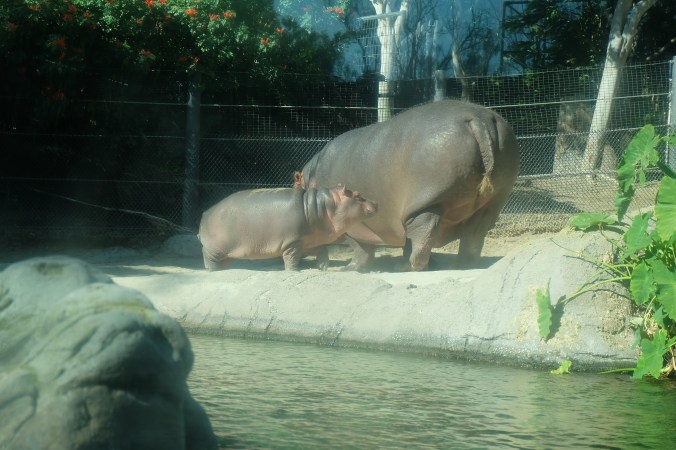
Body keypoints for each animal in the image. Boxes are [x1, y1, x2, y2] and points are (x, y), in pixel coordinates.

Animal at [198, 186, 378, 271]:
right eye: (357, 195)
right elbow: (292, 258)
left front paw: (323, 268)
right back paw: (214, 270)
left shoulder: (311, 241)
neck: (323, 207)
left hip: (226, 252)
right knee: (207, 256)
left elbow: (322, 251)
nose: (376, 203)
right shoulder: (293, 242)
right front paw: (294, 271)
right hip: (215, 248)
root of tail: (205, 213)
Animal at [294, 100, 520, 271]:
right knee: (474, 232)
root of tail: (477, 119)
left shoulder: (354, 224)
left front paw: (349, 268)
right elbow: (403, 244)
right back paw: (462, 265)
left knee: (424, 231)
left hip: (429, 201)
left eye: (294, 183)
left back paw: (407, 267)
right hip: (491, 202)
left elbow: (361, 247)